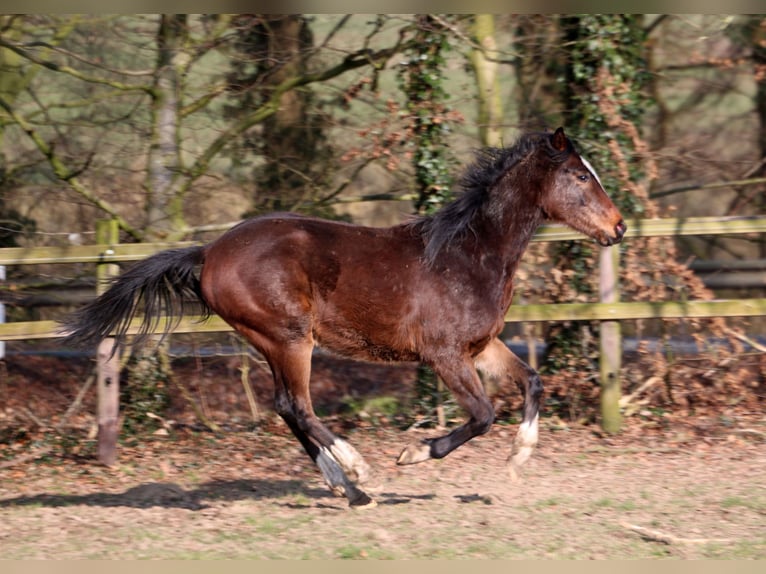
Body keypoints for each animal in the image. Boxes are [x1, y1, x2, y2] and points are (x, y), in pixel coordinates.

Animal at [61, 129, 632, 508]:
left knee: (286, 408)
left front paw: (517, 461)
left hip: (269, 341)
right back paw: (360, 471)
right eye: (579, 174)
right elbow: (483, 414)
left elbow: (533, 382)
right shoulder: (444, 354)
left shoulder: (482, 346)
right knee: (299, 405)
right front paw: (412, 453)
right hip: (289, 338)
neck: (471, 254)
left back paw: (349, 488)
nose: (620, 227)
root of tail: (208, 252)